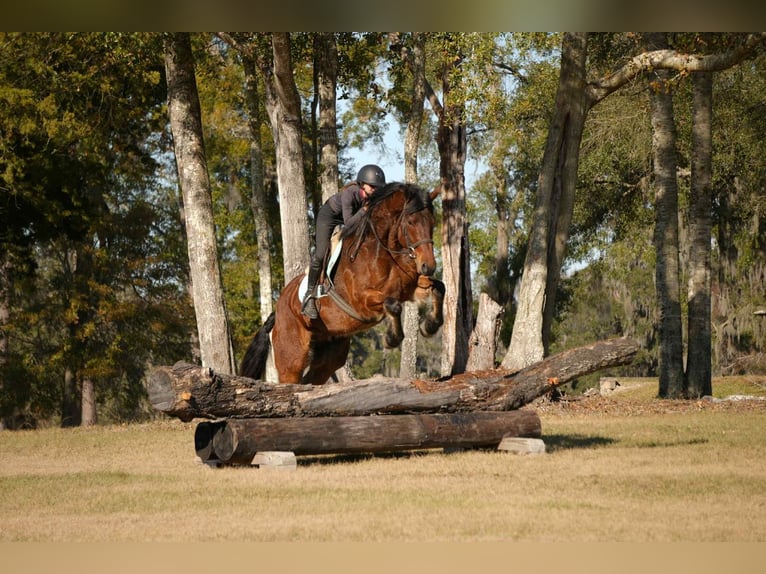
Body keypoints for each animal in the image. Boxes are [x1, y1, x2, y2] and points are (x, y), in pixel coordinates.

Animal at [240, 181, 445, 385]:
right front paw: (391, 338)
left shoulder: (408, 290)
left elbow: (439, 288)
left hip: (330, 353)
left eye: (432, 223)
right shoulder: (361, 301)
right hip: (292, 358)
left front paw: (430, 326)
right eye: (411, 222)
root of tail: (277, 313)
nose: (428, 266)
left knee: (312, 379)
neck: (381, 252)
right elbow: (393, 304)